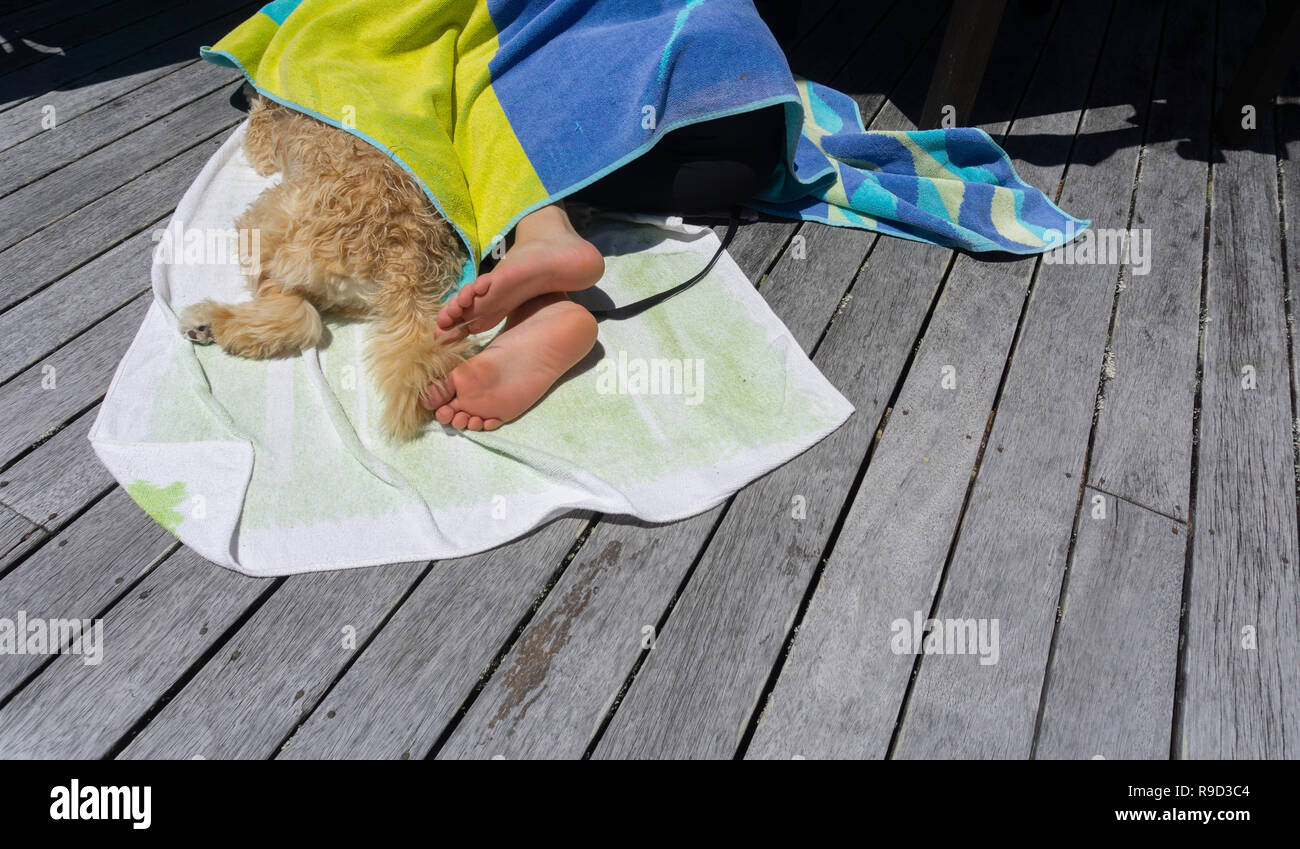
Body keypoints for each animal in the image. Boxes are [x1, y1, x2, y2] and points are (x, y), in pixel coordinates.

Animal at [179, 96, 467, 439]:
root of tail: (404, 261)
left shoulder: (263, 141)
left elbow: (255, 138)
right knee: (305, 317)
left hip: (271, 219)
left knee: (295, 315)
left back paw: (209, 322)